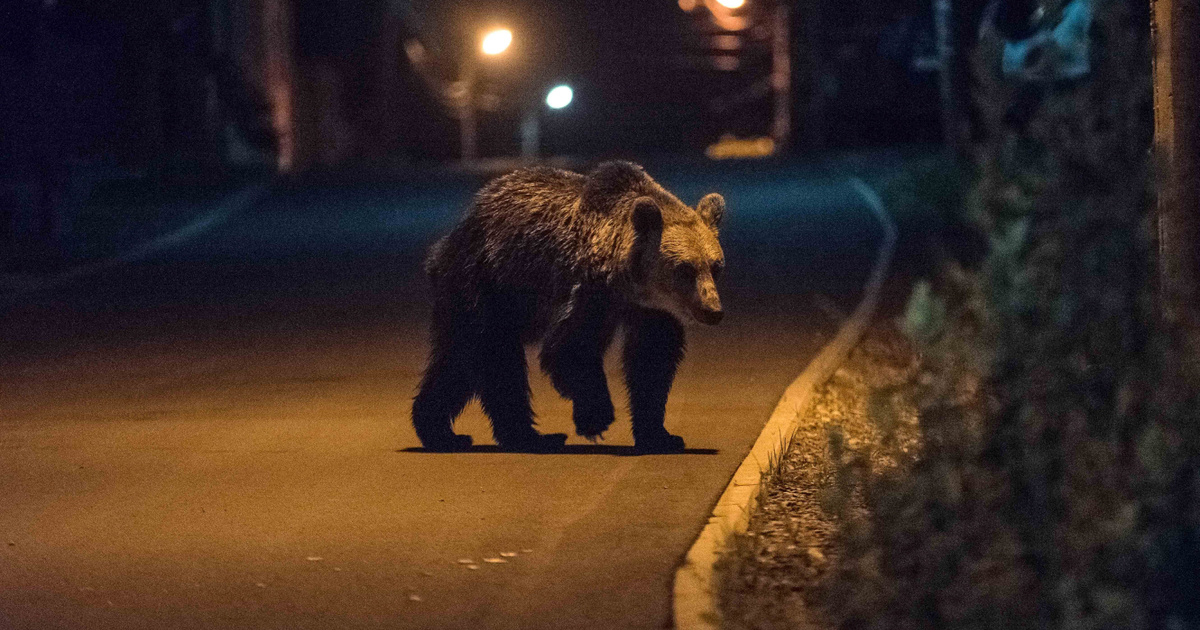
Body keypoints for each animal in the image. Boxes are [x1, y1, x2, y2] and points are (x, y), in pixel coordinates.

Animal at [412, 159, 724, 448]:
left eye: (716, 266)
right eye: (685, 269)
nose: (713, 311)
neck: (630, 282)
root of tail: (447, 241)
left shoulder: (651, 309)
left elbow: (653, 357)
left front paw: (660, 435)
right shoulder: (590, 289)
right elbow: (570, 347)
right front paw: (596, 418)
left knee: (458, 361)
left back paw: (440, 431)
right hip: (484, 283)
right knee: (496, 356)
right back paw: (529, 436)